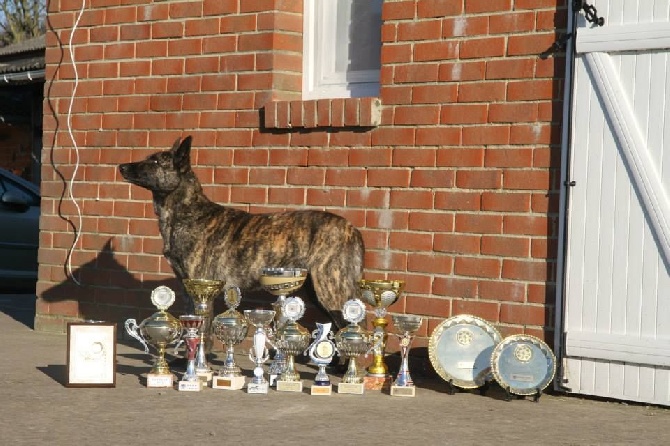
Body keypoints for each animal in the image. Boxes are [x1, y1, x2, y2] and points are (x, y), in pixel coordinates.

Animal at [118, 136, 364, 328]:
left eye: (155, 161)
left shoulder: (203, 287)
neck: (187, 211)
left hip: (330, 289)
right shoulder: (189, 288)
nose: (121, 166)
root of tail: (352, 228)